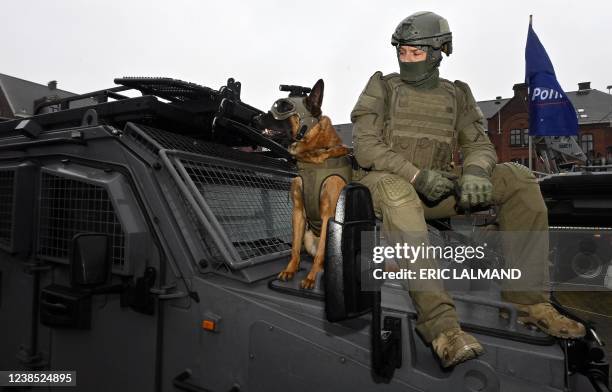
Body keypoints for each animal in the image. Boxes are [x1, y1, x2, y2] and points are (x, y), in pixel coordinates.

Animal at [260, 79, 354, 288]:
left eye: (284, 107)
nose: (257, 117)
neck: (314, 157)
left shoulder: (329, 215)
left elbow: (321, 252)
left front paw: (311, 277)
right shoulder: (297, 211)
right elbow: (295, 247)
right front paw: (290, 269)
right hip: (308, 237)